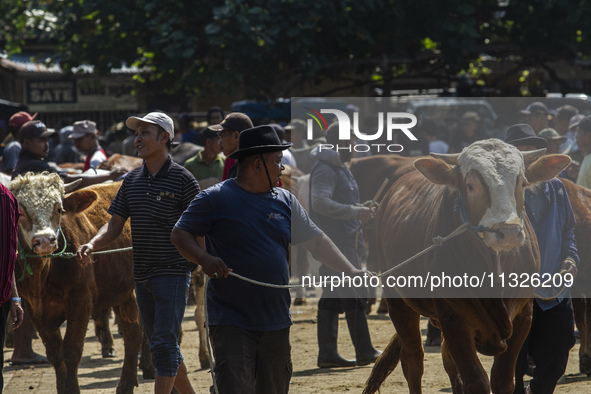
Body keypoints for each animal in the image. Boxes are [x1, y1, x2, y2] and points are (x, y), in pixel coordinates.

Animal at [364, 141, 572, 394]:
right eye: (471, 185)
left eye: (522, 183)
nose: (508, 232)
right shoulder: (454, 320)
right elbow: (477, 380)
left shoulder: (523, 317)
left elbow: (503, 379)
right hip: (399, 303)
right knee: (413, 359)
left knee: (447, 360)